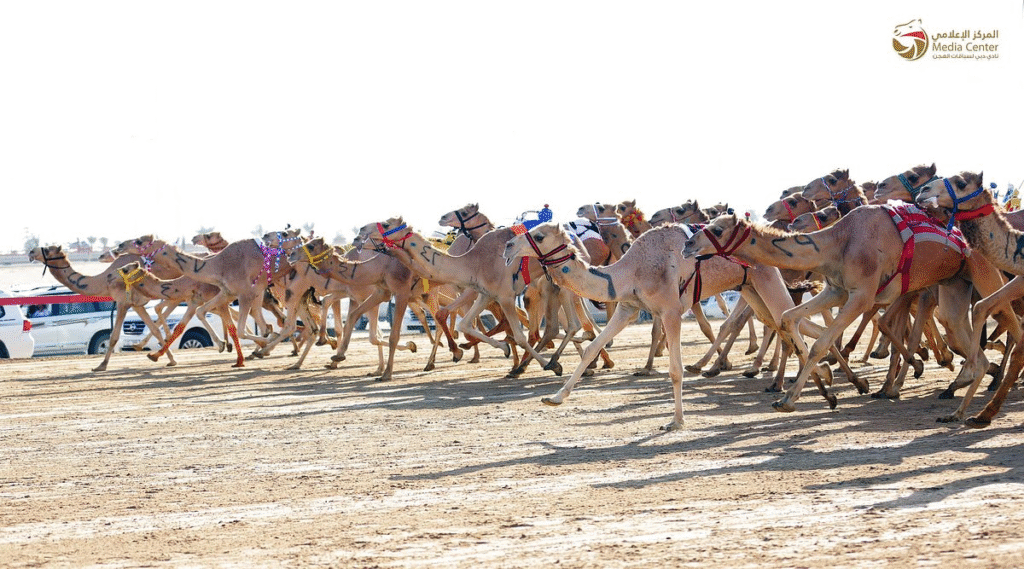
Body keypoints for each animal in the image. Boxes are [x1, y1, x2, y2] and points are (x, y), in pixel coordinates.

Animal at [27, 245, 171, 371]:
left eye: (47, 250)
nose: (31, 251)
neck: (105, 281)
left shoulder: (122, 302)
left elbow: (113, 336)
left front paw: (101, 365)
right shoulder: (136, 304)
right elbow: (155, 329)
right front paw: (169, 360)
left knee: (161, 308)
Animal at [502, 222, 815, 430]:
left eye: (539, 235)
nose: (507, 246)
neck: (630, 271)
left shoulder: (671, 311)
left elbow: (675, 370)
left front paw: (676, 421)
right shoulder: (627, 308)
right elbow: (592, 348)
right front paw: (555, 397)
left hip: (765, 278)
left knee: (792, 322)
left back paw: (794, 391)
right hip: (749, 288)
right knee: (786, 326)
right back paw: (794, 384)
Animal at [681, 208, 1016, 414]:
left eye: (717, 229)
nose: (687, 245)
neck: (838, 242)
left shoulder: (862, 296)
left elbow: (821, 342)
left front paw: (791, 398)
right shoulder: (836, 290)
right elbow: (789, 318)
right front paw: (814, 390)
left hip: (983, 272)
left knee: (1009, 318)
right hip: (954, 283)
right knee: (959, 327)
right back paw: (964, 381)